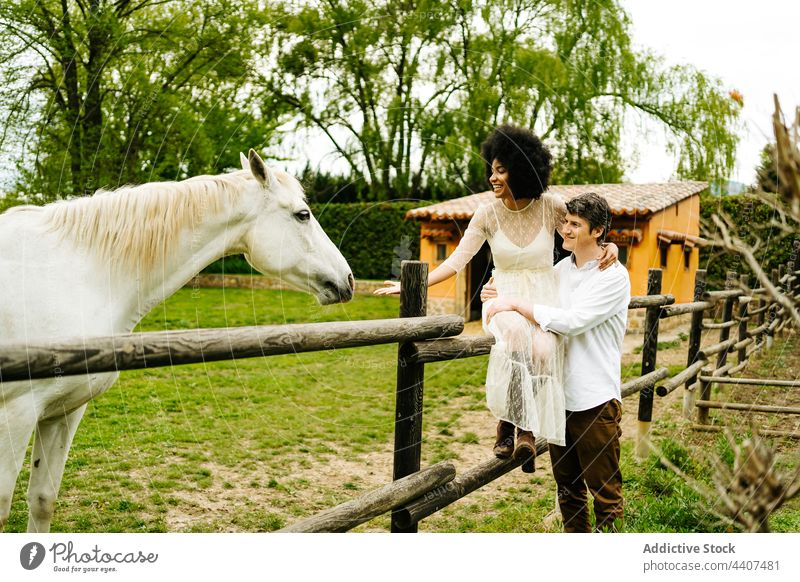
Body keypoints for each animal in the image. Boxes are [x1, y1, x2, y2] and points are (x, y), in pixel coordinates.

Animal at [0, 151, 354, 532]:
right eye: (303, 214)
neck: (76, 276)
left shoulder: (62, 412)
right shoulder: (16, 415)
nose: (348, 279)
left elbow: (42, 500)